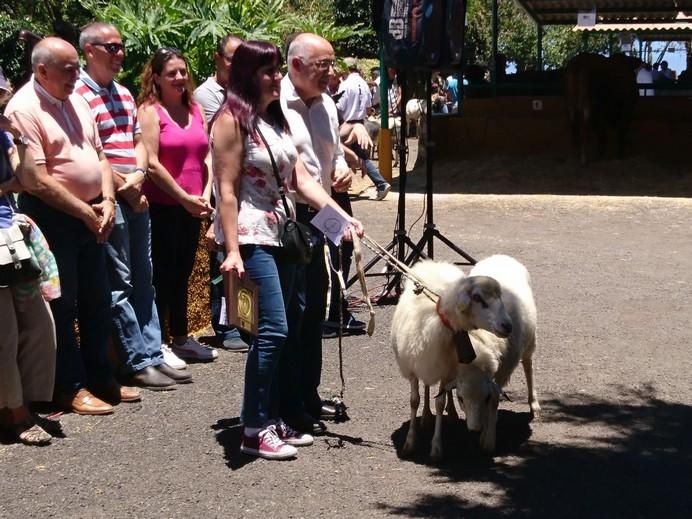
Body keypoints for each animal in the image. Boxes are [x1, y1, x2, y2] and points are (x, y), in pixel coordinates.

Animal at [390, 262, 512, 462]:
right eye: (477, 298)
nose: (508, 326)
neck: (441, 321)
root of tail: (434, 264)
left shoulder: (445, 371)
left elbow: (440, 402)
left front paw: (436, 448)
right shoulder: (413, 370)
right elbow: (414, 401)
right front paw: (409, 443)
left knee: (446, 392)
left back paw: (452, 413)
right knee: (427, 386)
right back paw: (426, 416)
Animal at [456, 254, 544, 452]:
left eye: (486, 397)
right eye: (460, 398)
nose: (474, 429)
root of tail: (501, 255)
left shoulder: (505, 369)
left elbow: (495, 399)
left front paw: (488, 439)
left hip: (530, 341)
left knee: (529, 367)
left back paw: (533, 404)